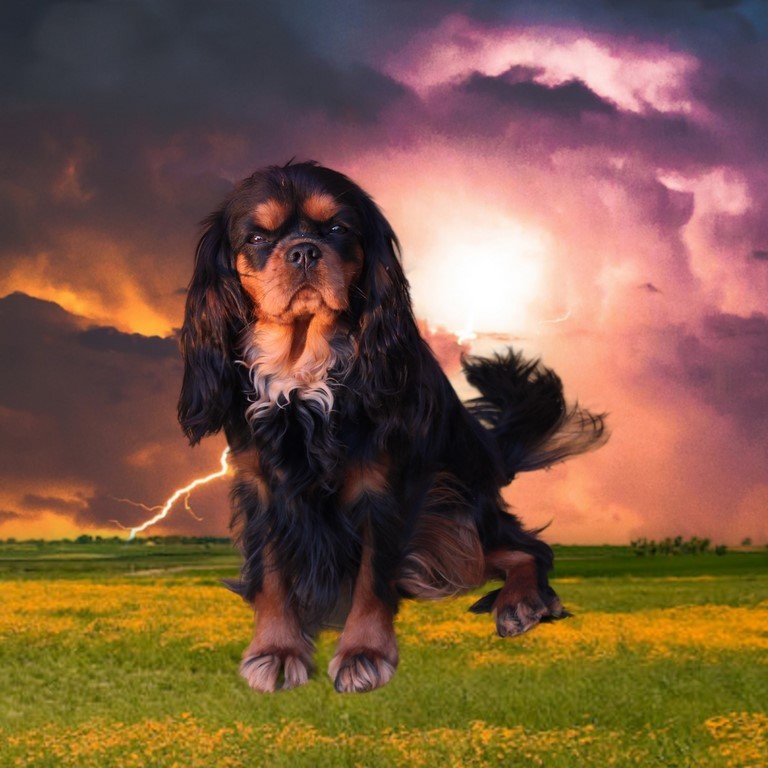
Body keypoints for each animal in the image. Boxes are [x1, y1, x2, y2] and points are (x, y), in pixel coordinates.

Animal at [180, 159, 608, 692]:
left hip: (453, 504)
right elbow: (272, 572)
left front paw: (364, 651)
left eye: (338, 229)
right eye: (258, 237)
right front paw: (276, 648)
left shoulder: (381, 485)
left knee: (527, 549)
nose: (303, 251)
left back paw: (522, 602)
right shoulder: (260, 484)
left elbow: (372, 575)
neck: (303, 369)